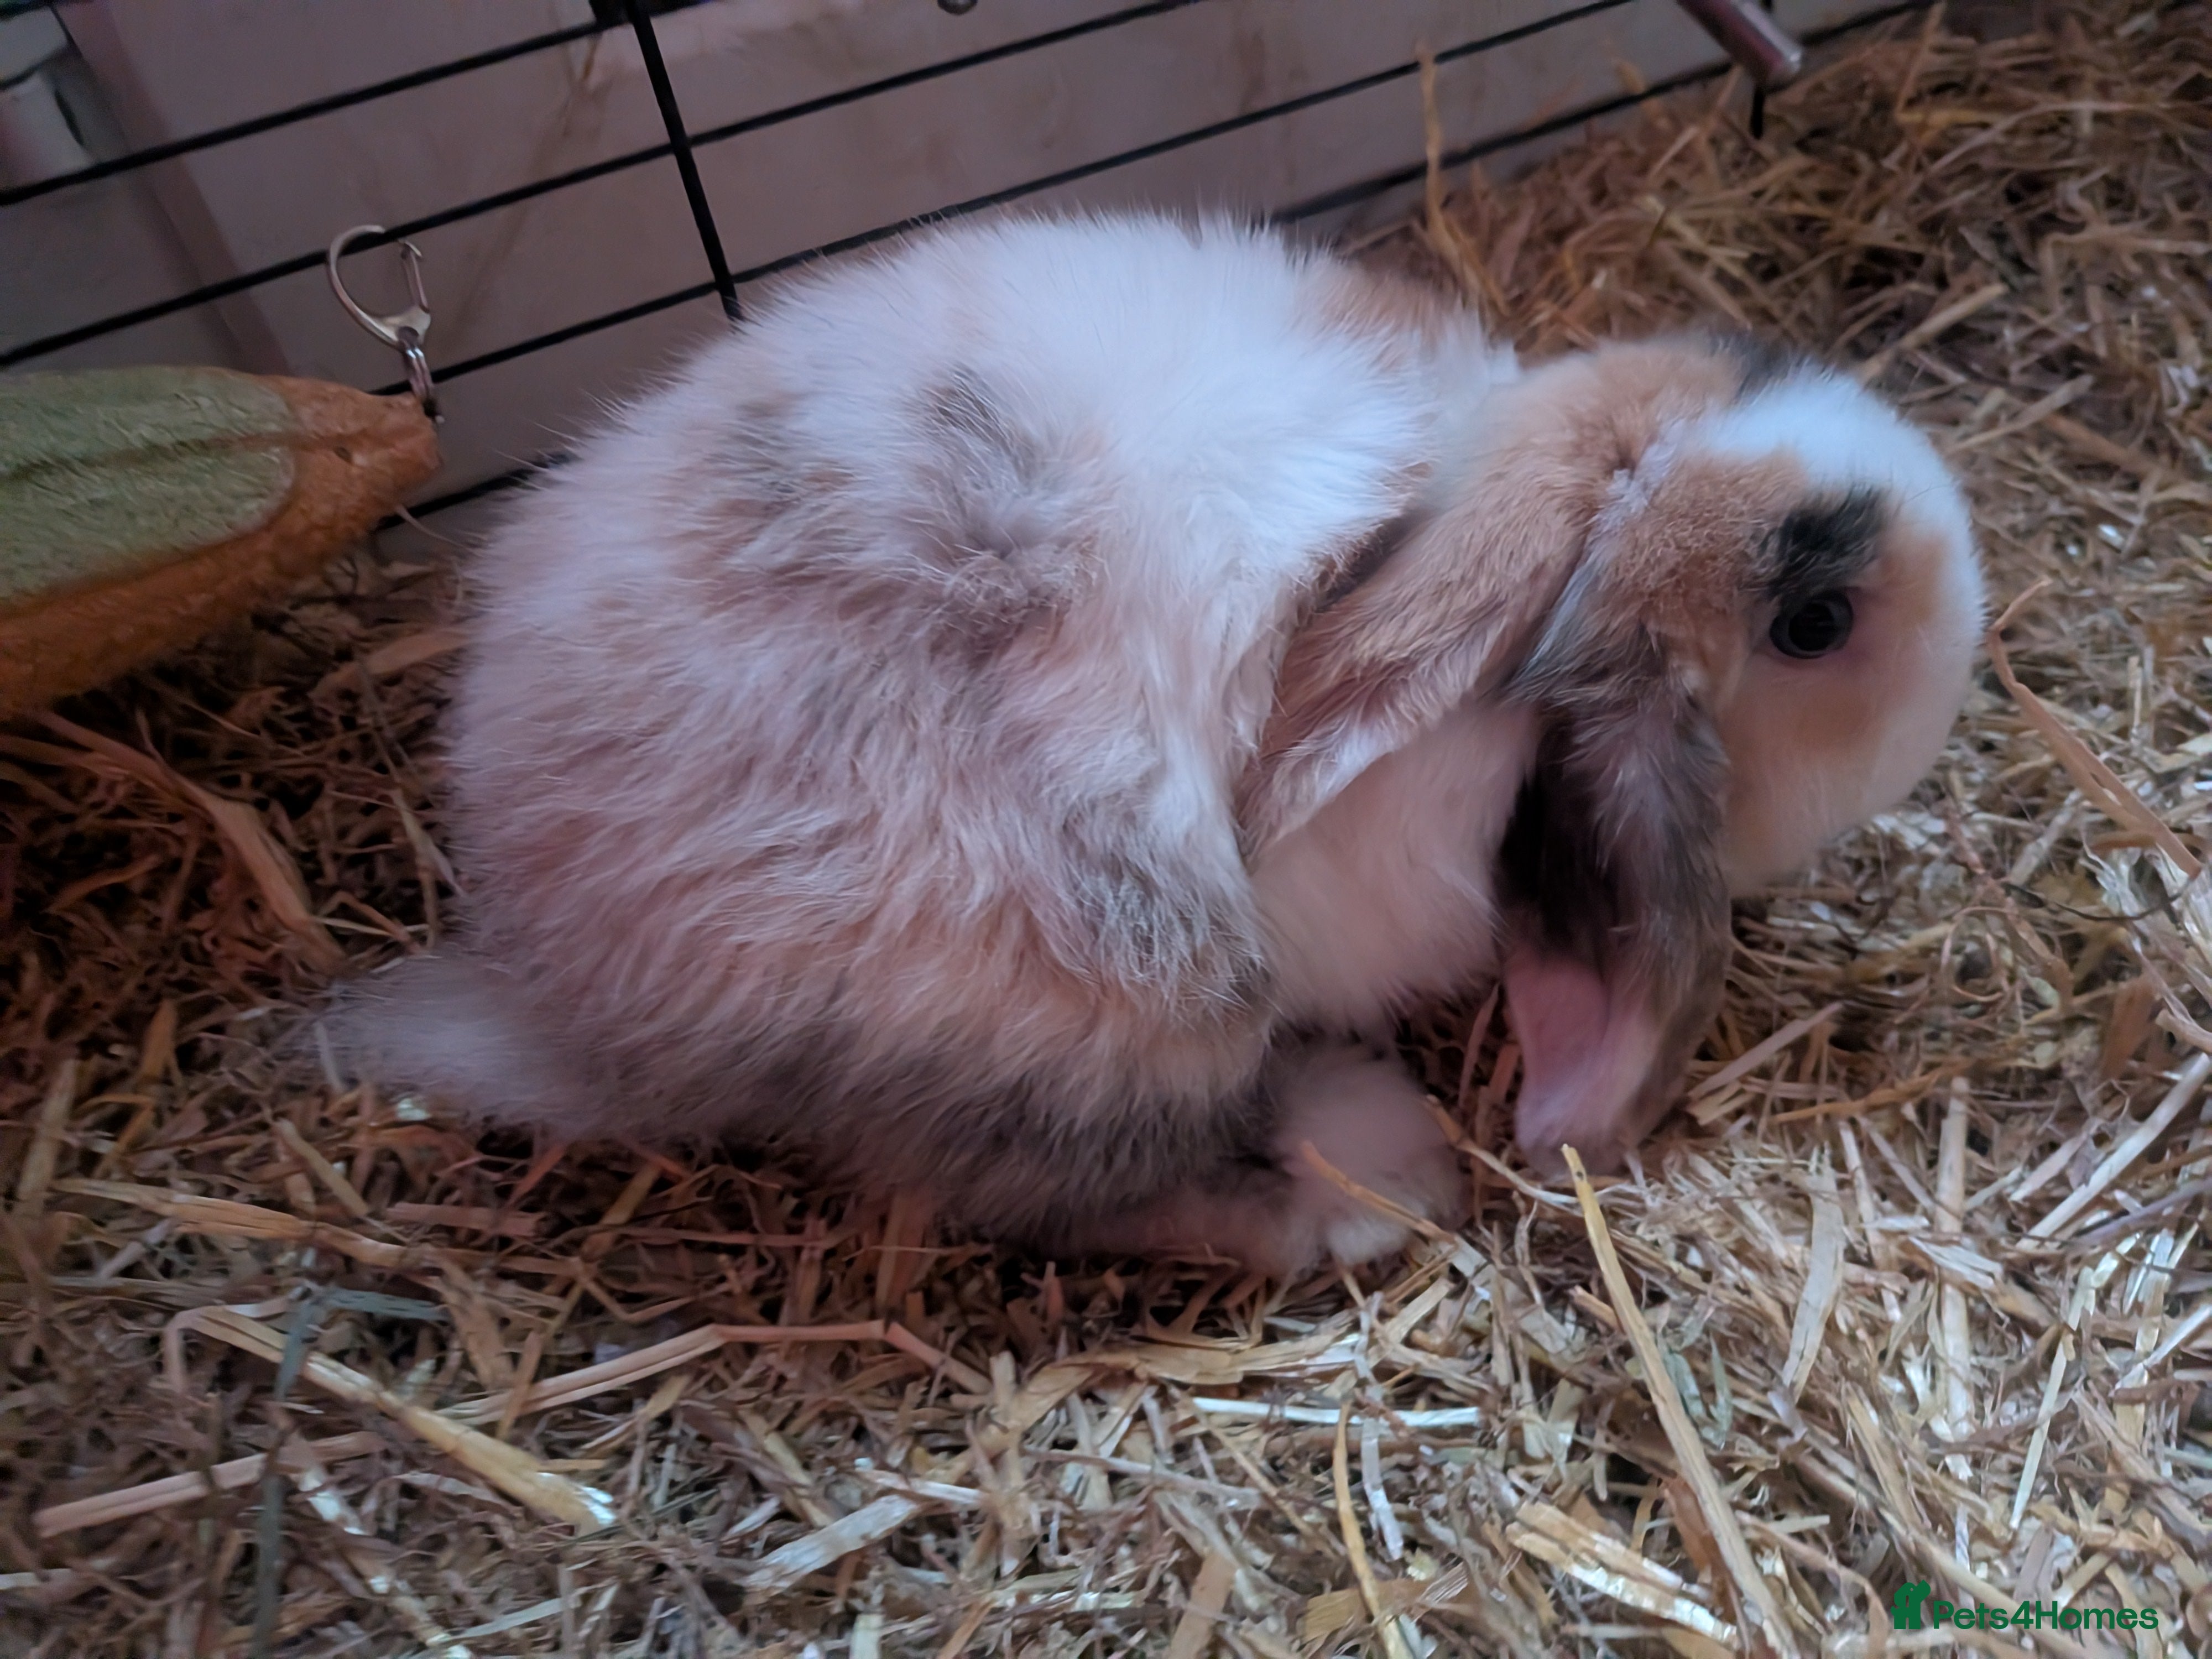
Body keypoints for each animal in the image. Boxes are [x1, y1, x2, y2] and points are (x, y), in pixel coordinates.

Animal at [330, 211, 1982, 1277]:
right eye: (1817, 620)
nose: (1953, 626)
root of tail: (566, 984)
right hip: (1115, 1006)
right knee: (1076, 1194)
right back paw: (1374, 1176)